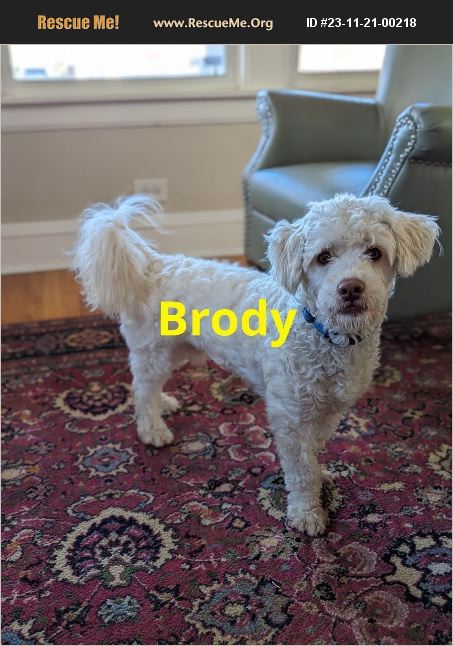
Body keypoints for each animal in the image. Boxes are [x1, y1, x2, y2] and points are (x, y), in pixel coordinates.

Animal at [73, 193, 439, 535]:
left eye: (374, 252)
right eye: (323, 257)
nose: (350, 287)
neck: (326, 336)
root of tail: (155, 266)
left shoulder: (330, 410)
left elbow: (314, 449)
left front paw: (320, 473)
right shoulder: (291, 416)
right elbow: (301, 470)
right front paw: (307, 513)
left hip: (178, 349)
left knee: (151, 386)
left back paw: (163, 403)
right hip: (154, 350)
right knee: (141, 389)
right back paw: (152, 428)